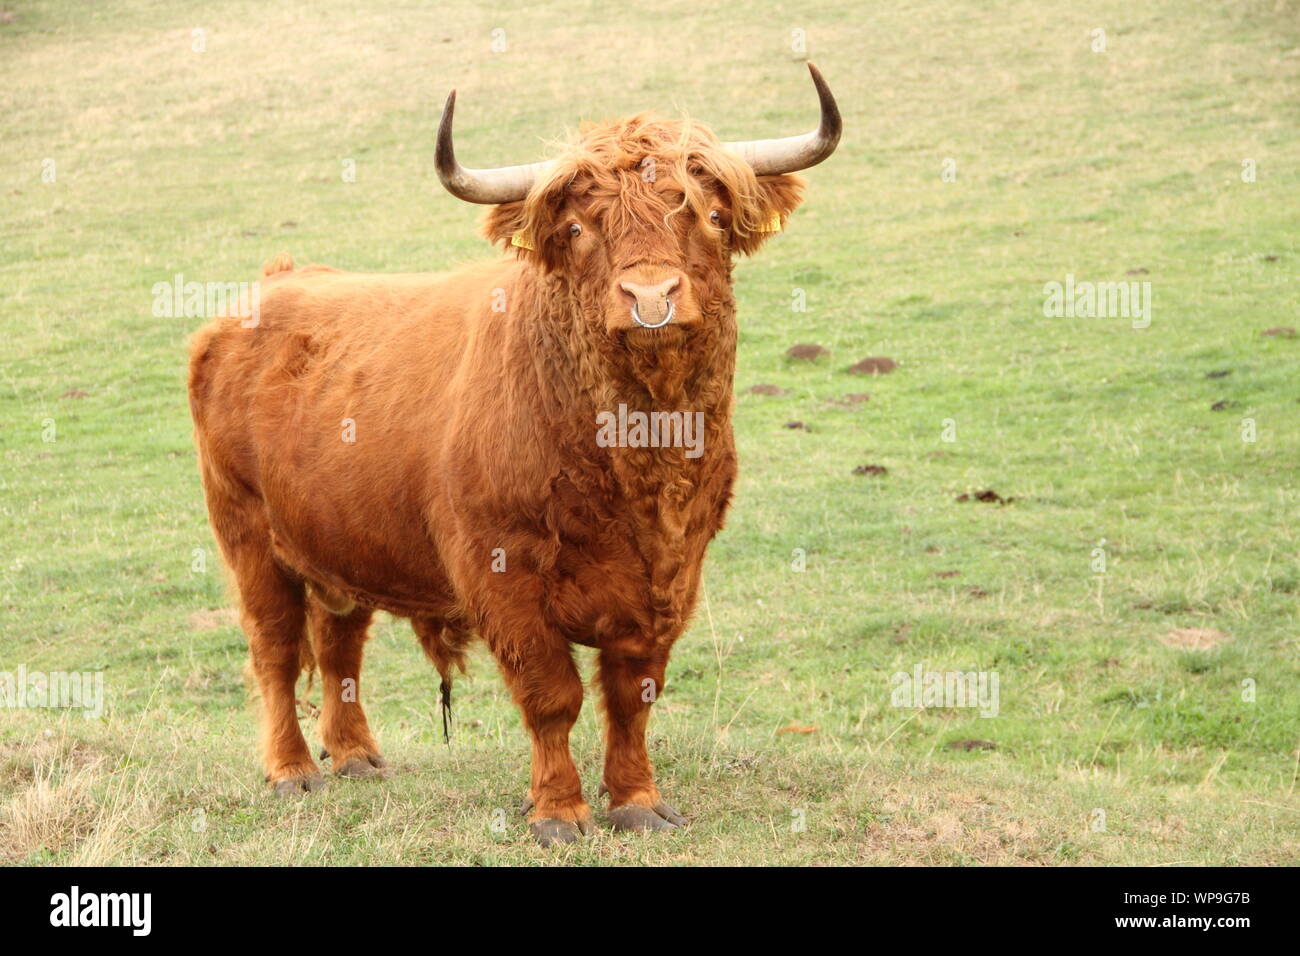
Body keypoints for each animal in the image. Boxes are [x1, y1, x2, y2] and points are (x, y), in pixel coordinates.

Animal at [187, 64, 840, 845]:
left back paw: (356, 758)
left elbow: (634, 695)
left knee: (340, 641)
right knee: (276, 649)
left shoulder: (673, 574)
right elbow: (552, 695)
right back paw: (291, 770)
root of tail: (273, 284)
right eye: (578, 229)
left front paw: (638, 801)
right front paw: (558, 811)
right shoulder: (503, 573)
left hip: (338, 541)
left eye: (711, 217)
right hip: (249, 538)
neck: (634, 466)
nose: (651, 297)